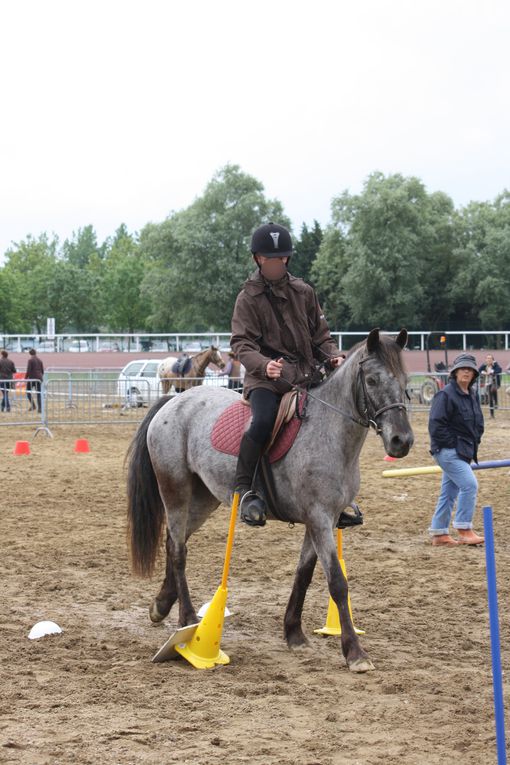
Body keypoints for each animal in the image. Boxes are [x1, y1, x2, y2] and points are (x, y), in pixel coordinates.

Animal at [127, 326, 414, 672]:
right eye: (371, 380)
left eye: (404, 380)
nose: (401, 441)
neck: (330, 433)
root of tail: (174, 402)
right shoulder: (319, 519)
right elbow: (337, 582)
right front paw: (355, 653)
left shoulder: (323, 520)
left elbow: (304, 575)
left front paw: (294, 634)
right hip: (176, 491)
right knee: (179, 550)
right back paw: (187, 618)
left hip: (204, 499)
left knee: (174, 541)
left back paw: (161, 605)